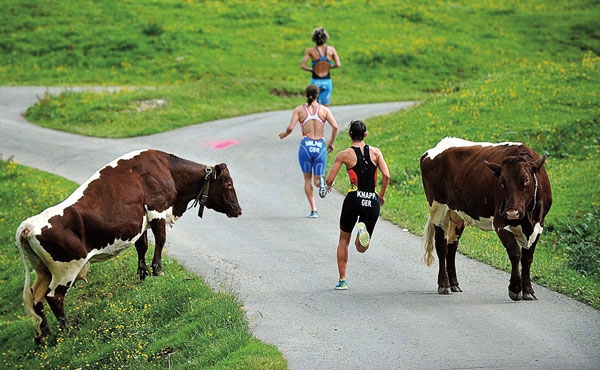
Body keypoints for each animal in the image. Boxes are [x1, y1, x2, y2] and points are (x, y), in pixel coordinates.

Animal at [14, 148, 239, 342]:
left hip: (43, 271)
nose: (239, 210)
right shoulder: (157, 210)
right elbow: (161, 241)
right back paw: (68, 330)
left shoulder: (141, 222)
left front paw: (143, 274)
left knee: (36, 297)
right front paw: (158, 270)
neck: (166, 169)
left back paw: (44, 334)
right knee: (54, 297)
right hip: (66, 270)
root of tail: (30, 224)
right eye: (228, 184)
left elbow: (143, 247)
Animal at [420, 137, 552, 302]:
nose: (512, 213)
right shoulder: (500, 223)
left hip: (457, 215)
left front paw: (528, 290)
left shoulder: (538, 225)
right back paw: (444, 285)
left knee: (452, 246)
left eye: (526, 180)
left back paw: (454, 284)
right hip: (438, 207)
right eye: (501, 182)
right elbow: (515, 253)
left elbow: (527, 258)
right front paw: (515, 289)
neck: (527, 219)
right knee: (441, 246)